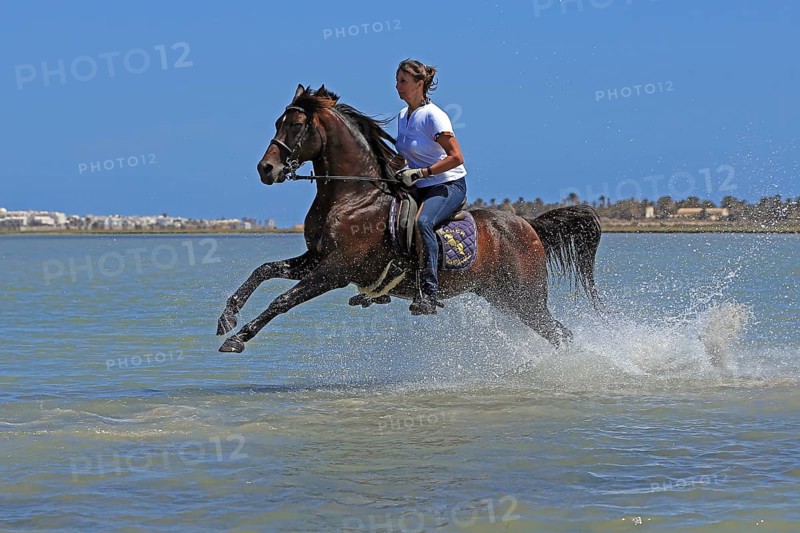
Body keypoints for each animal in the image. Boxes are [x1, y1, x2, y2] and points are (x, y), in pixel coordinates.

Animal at [216, 84, 601, 354]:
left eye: (296, 125)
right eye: (277, 122)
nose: (266, 168)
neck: (352, 196)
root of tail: (528, 227)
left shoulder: (336, 270)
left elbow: (282, 300)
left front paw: (239, 338)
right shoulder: (315, 258)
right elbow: (264, 270)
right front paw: (227, 317)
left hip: (525, 298)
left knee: (559, 332)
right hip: (503, 298)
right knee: (557, 332)